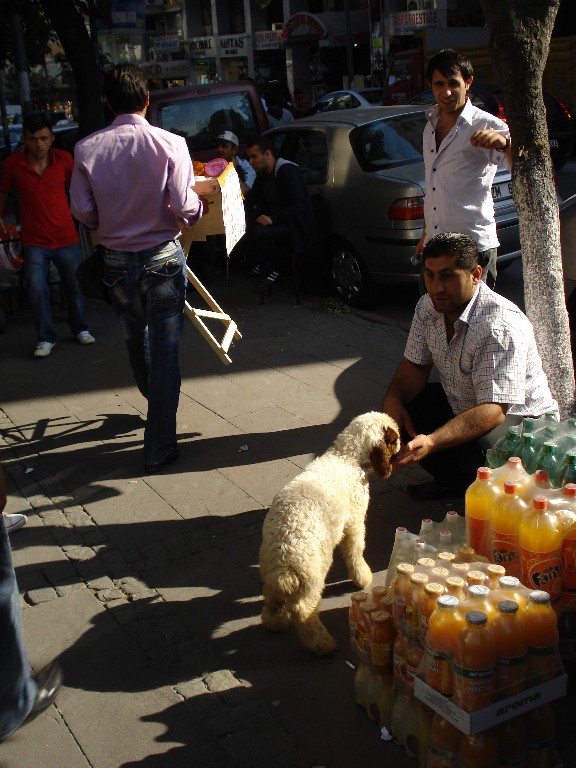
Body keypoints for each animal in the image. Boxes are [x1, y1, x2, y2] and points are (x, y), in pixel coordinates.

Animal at [258, 412, 398, 656]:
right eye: (394, 438)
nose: (402, 443)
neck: (345, 458)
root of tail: (284, 561)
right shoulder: (354, 521)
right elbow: (355, 551)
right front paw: (362, 577)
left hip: (269, 575)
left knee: (273, 601)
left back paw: (273, 624)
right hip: (312, 581)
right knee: (304, 613)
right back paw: (323, 645)